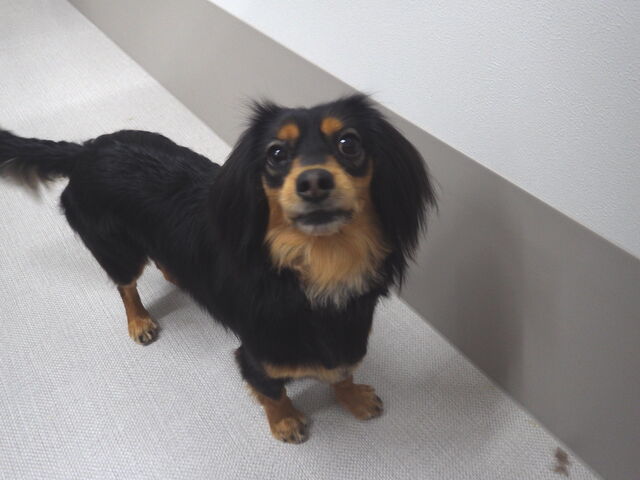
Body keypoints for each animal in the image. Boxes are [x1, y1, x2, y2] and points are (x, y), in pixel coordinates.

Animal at [0, 94, 434, 443]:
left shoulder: (350, 331)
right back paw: (139, 321)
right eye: (276, 154)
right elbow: (272, 391)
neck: (316, 267)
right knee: (127, 287)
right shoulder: (258, 353)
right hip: (119, 251)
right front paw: (286, 422)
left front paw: (353, 397)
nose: (314, 181)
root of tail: (85, 150)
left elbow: (342, 370)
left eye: (349, 143)